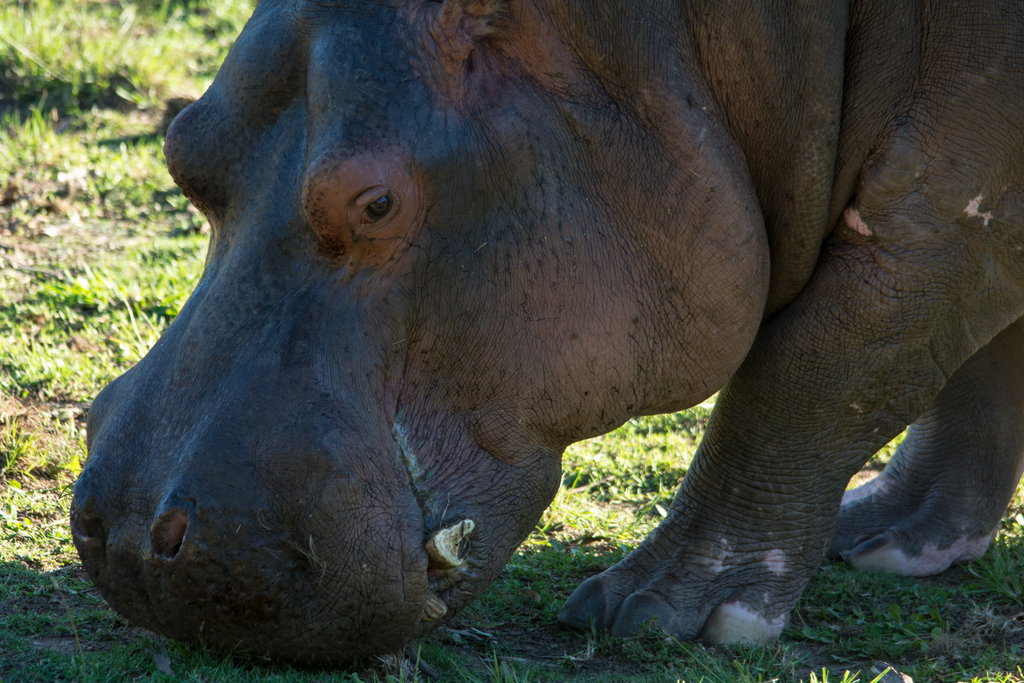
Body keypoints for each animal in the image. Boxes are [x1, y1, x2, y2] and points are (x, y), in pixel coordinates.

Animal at [71, 0, 1024, 663]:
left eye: (374, 201)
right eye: (180, 148)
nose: (130, 535)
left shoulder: (943, 213)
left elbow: (817, 371)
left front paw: (659, 613)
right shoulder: (988, 216)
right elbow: (980, 366)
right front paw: (890, 541)